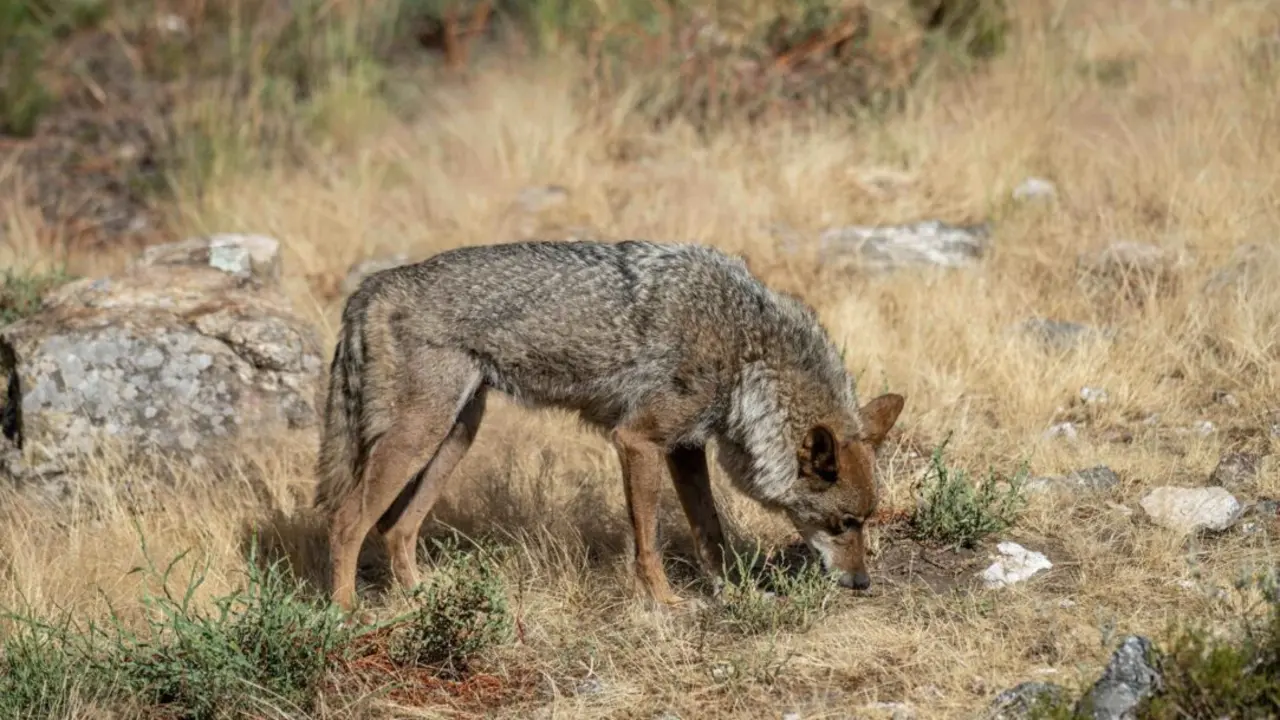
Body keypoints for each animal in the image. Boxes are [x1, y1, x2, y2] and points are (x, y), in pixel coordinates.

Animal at [314, 239, 904, 612]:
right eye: (842, 524)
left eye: (865, 522)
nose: (861, 583)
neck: (746, 350)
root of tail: (370, 287)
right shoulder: (637, 440)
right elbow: (648, 541)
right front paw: (665, 602)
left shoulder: (684, 447)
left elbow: (709, 532)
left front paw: (734, 593)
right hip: (419, 438)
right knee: (347, 522)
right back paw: (346, 616)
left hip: (455, 435)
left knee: (396, 528)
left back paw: (422, 599)